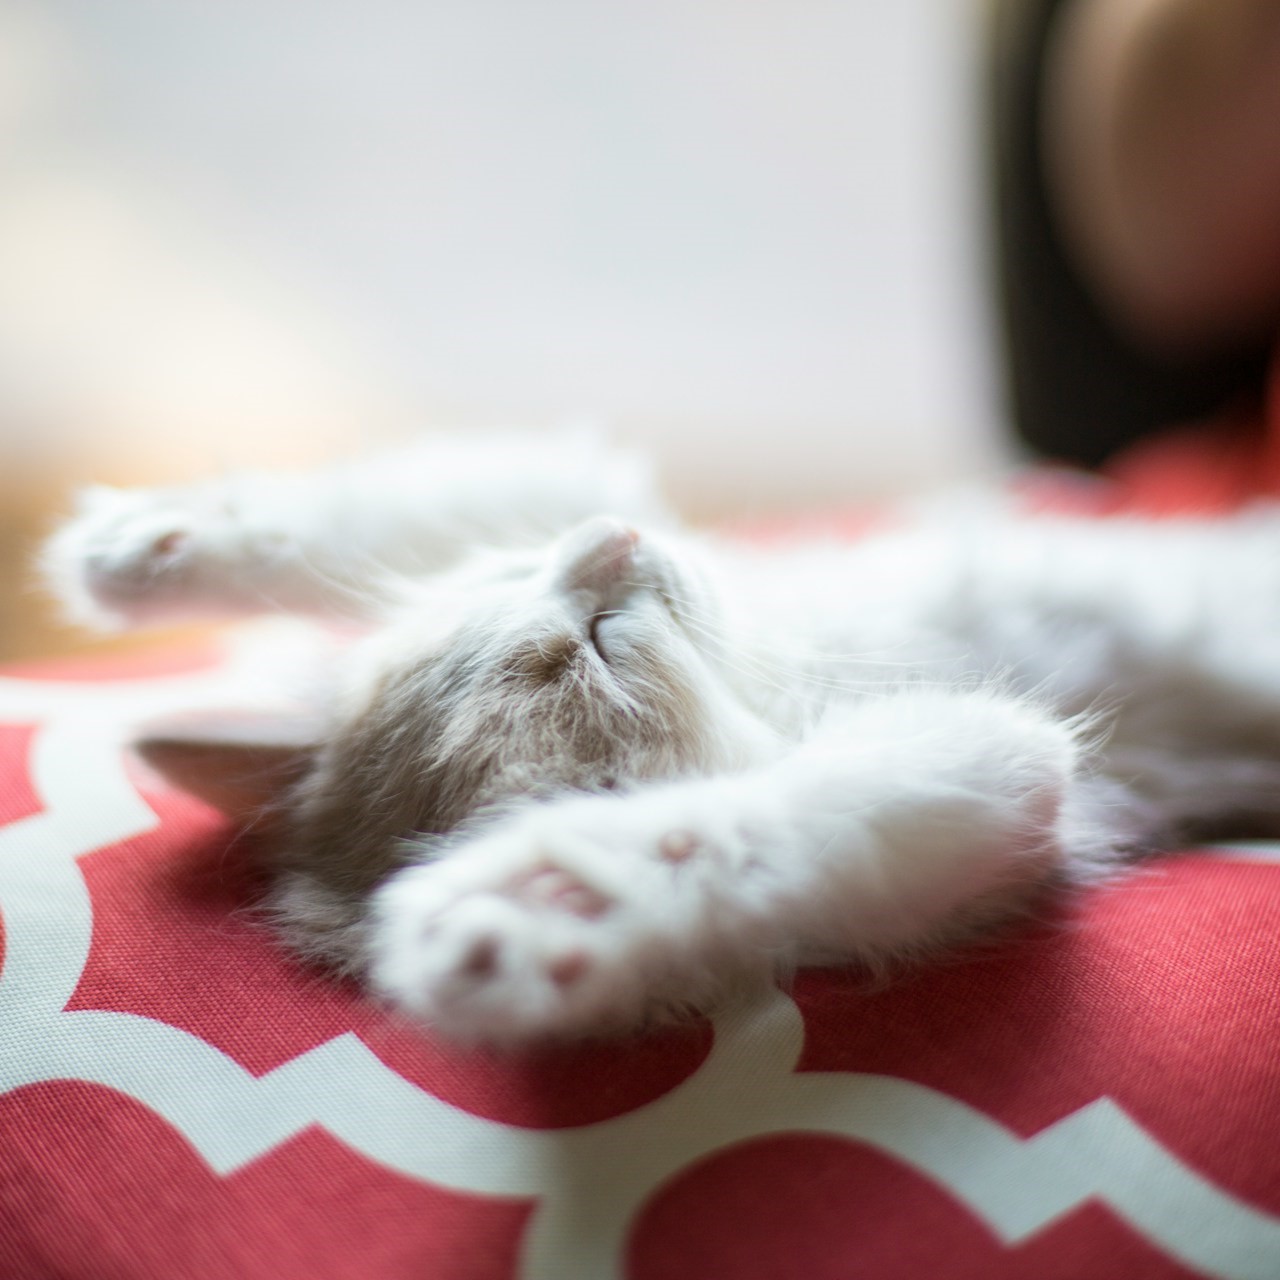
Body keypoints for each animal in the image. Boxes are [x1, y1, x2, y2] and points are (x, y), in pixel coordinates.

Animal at [40, 435, 1280, 1034]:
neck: (771, 669)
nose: (612, 541)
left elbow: (409, 507)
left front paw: (150, 541)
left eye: (513, 575)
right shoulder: (1000, 769)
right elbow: (736, 827)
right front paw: (542, 900)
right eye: (597, 643)